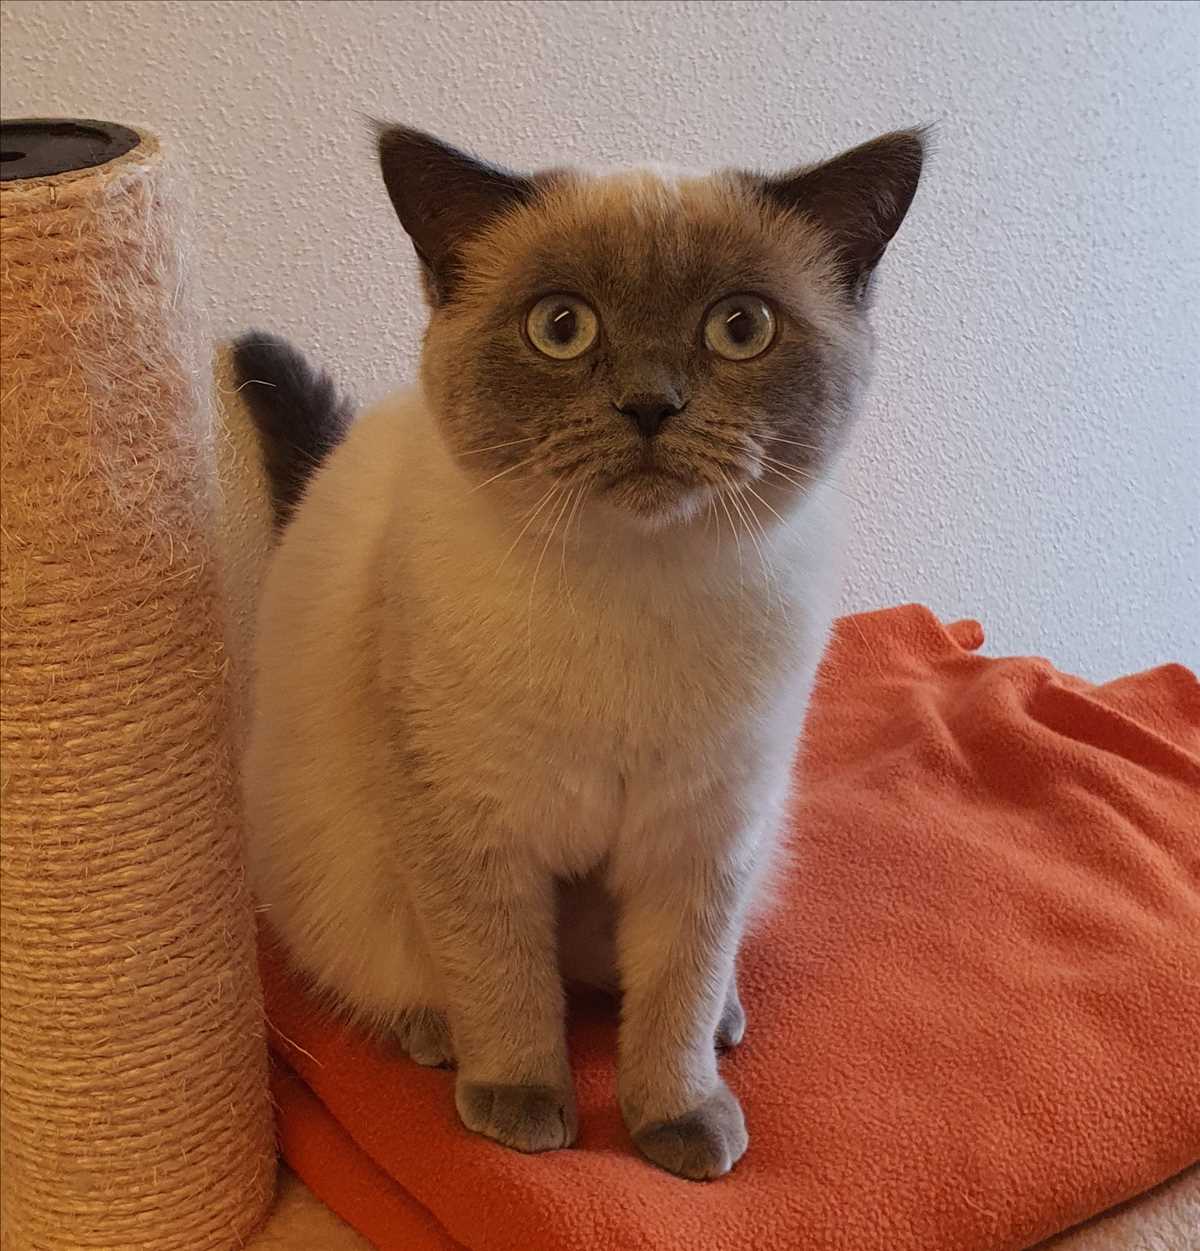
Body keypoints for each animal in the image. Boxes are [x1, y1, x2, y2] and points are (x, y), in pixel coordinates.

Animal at [236, 122, 924, 1180]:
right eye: (562, 328)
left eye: (740, 328)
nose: (650, 405)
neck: (632, 588)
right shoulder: (473, 829)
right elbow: (507, 981)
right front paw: (524, 1109)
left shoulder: (705, 836)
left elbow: (675, 991)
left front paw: (678, 1121)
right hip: (340, 861)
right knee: (399, 970)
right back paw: (439, 1039)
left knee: (650, 980)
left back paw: (725, 1023)